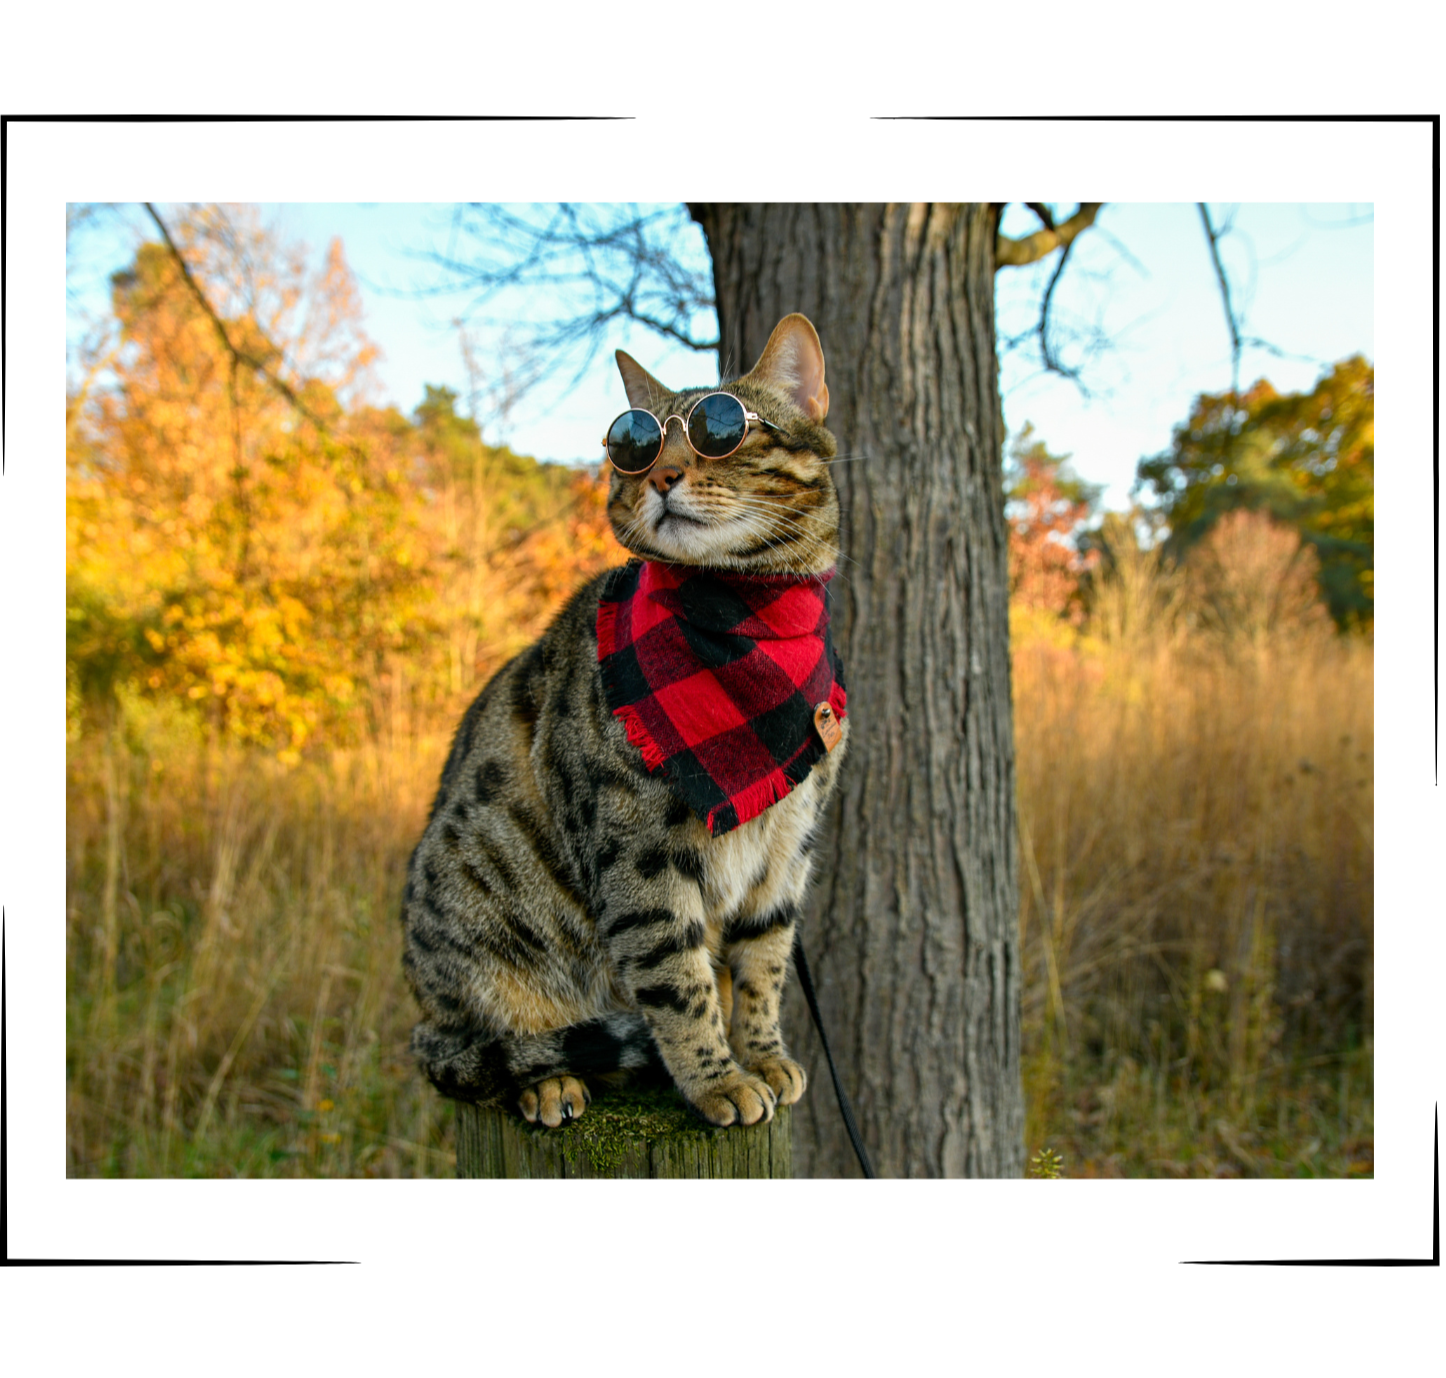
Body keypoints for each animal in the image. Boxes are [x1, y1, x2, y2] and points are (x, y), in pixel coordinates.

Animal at [401, 315, 844, 1127]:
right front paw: (718, 1079)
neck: (745, 616)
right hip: (474, 932)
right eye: (634, 445)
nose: (662, 476)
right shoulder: (641, 856)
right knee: (497, 1047)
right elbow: (678, 978)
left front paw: (763, 1055)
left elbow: (762, 968)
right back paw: (548, 1080)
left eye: (721, 431)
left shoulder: (787, 851)